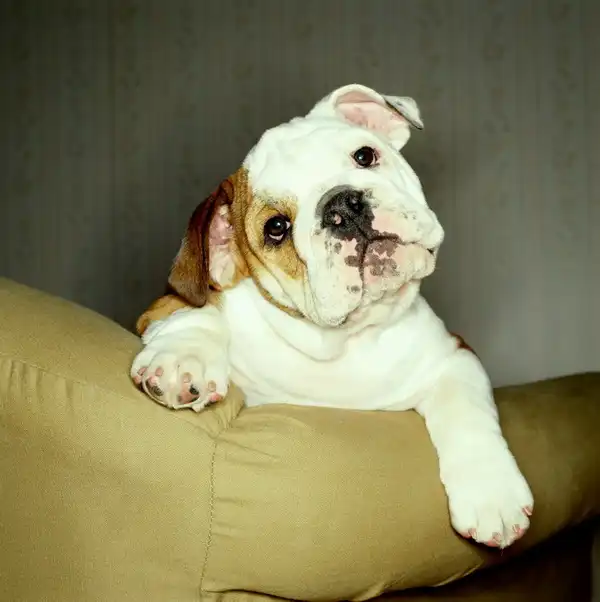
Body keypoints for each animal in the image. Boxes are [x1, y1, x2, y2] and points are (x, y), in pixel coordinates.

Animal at [131, 84, 533, 549]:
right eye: (277, 228)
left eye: (364, 156)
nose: (344, 205)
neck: (344, 340)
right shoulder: (165, 303)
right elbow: (196, 314)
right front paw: (181, 362)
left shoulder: (455, 356)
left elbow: (466, 410)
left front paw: (492, 493)